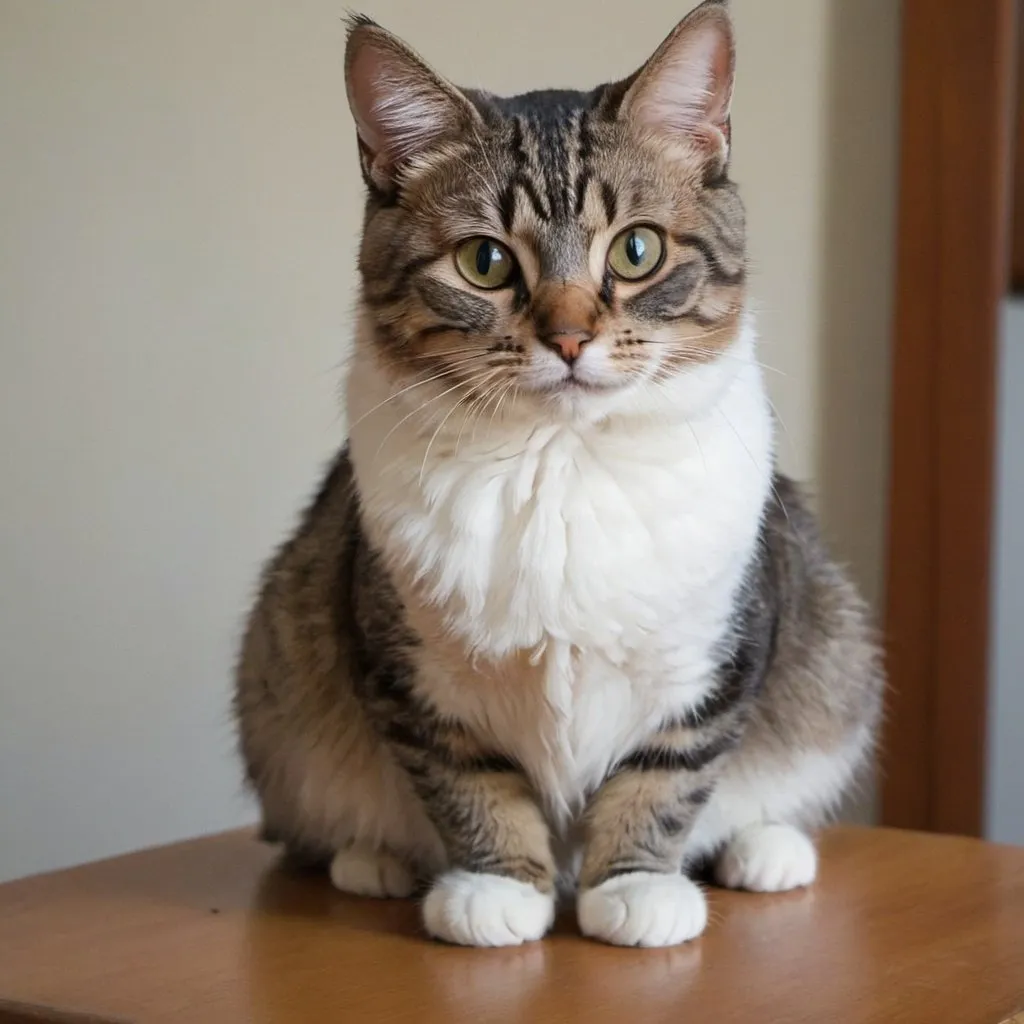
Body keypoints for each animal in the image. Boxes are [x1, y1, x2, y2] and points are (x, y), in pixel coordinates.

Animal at [232, 0, 880, 950]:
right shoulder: (410, 671)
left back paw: (767, 847)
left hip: (833, 647)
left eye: (638, 251)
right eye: (485, 262)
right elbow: (467, 781)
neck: (561, 463)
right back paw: (373, 858)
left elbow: (666, 775)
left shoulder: (716, 659)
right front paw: (499, 889)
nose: (570, 338)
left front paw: (635, 887)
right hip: (282, 676)